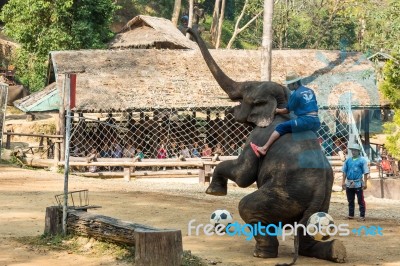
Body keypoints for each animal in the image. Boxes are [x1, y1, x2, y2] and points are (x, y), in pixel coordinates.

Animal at [186, 28, 346, 264]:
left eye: (245, 93)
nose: (190, 29)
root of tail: (318, 191)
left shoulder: (259, 135)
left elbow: (244, 174)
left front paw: (213, 192)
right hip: (322, 203)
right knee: (307, 232)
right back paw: (336, 251)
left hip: (285, 195)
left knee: (248, 206)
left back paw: (262, 253)